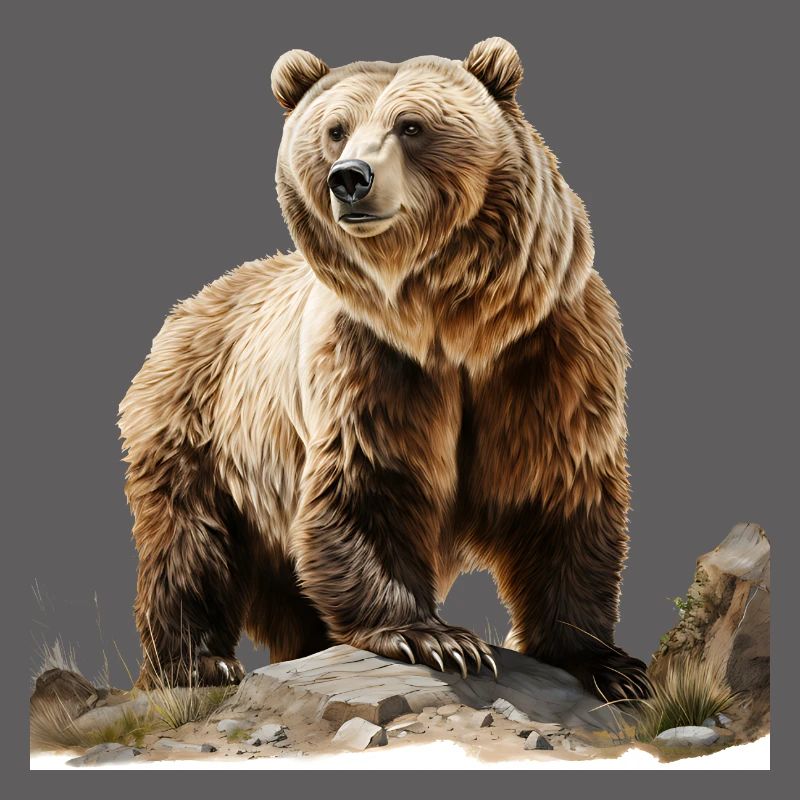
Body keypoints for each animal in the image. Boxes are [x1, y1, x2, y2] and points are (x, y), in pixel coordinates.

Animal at [119, 37, 648, 701]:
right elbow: (369, 480)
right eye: (336, 129)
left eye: (412, 125)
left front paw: (608, 663)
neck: (451, 324)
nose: (350, 178)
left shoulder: (547, 351)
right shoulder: (370, 361)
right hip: (202, 430)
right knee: (189, 543)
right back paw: (197, 663)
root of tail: (187, 309)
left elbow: (561, 492)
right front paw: (436, 639)